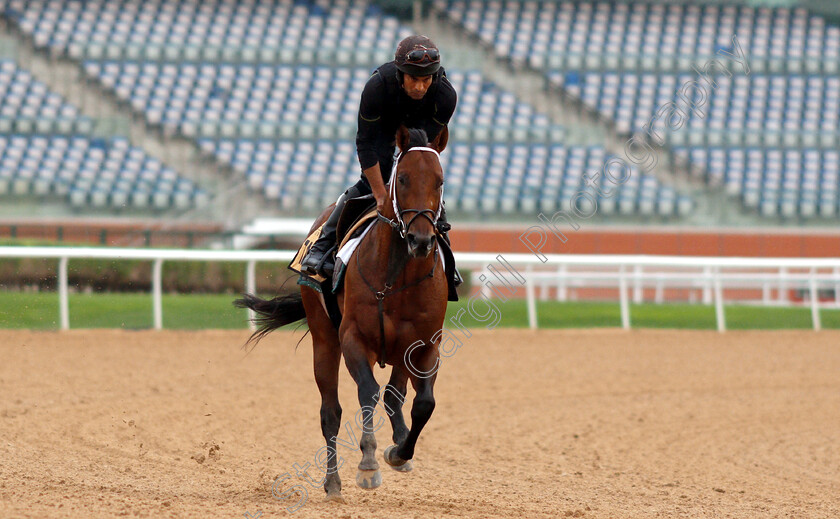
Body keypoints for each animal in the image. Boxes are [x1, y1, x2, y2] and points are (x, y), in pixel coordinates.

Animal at [233, 125, 450, 504]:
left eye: (439, 181)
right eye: (403, 178)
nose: (421, 240)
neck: (398, 278)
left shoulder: (425, 346)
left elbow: (422, 403)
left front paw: (399, 452)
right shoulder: (353, 339)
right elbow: (368, 393)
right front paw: (368, 465)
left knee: (395, 395)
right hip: (324, 339)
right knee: (330, 412)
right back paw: (333, 482)